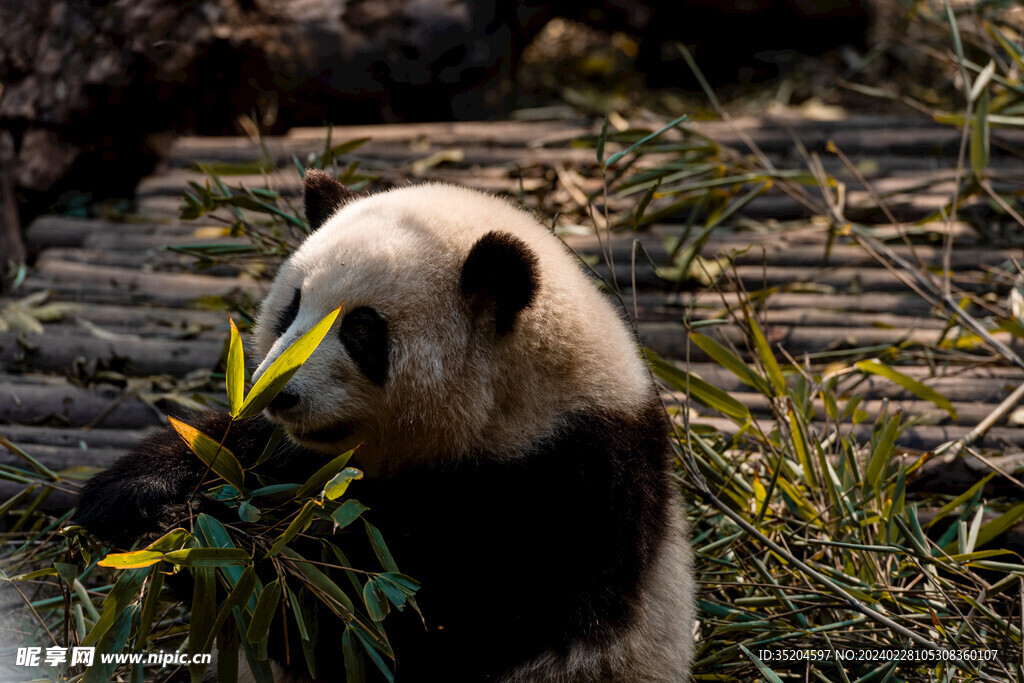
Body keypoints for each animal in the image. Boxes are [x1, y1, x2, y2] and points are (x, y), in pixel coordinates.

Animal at [74, 169, 696, 679]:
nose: (279, 393)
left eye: (361, 330)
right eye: (290, 308)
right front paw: (142, 500)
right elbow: (237, 452)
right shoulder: (297, 456)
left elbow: (386, 621)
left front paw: (210, 541)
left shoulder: (563, 495)